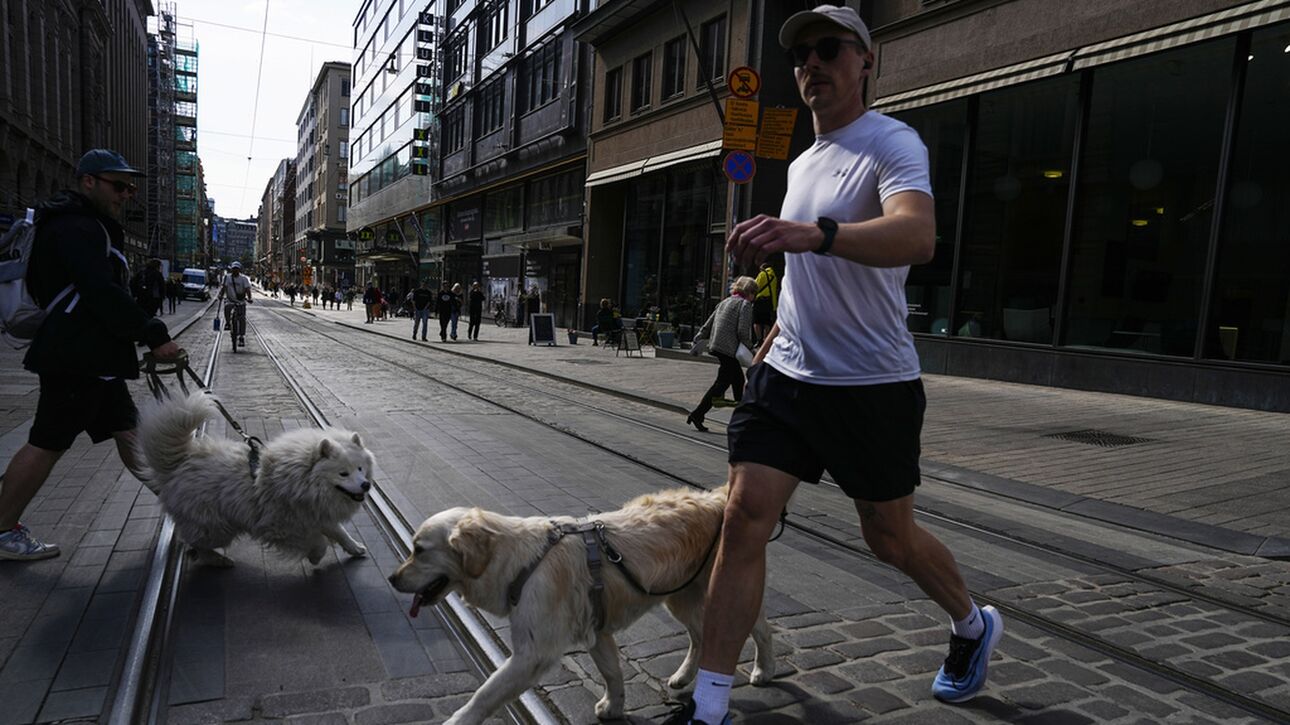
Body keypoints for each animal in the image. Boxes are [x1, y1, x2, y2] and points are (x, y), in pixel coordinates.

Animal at [138, 389, 376, 565]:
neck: (303, 481)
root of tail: (180, 462)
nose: (366, 485)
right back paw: (219, 561)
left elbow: (340, 532)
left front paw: (355, 548)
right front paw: (316, 557)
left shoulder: (316, 513)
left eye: (360, 469)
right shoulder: (281, 526)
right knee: (197, 544)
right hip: (216, 527)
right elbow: (318, 541)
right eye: (343, 473)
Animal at [387, 482, 768, 722]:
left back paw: (764, 670)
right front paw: (614, 708)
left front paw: (456, 721)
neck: (521, 563)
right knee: (699, 637)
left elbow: (484, 694)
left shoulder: (532, 654)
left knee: (758, 628)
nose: (392, 579)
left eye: (419, 550)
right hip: (679, 597)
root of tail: (715, 499)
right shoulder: (597, 632)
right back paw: (682, 676)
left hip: (720, 587)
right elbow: (612, 674)